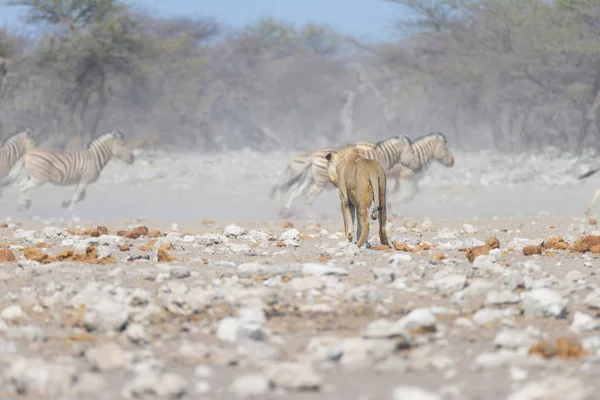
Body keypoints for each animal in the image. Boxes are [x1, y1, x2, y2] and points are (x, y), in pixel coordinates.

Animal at [274, 134, 418, 217]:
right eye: (412, 151)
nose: (416, 167)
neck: (382, 156)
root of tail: (312, 156)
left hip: (310, 179)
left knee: (296, 191)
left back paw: (286, 210)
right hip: (320, 181)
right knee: (308, 195)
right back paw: (311, 216)